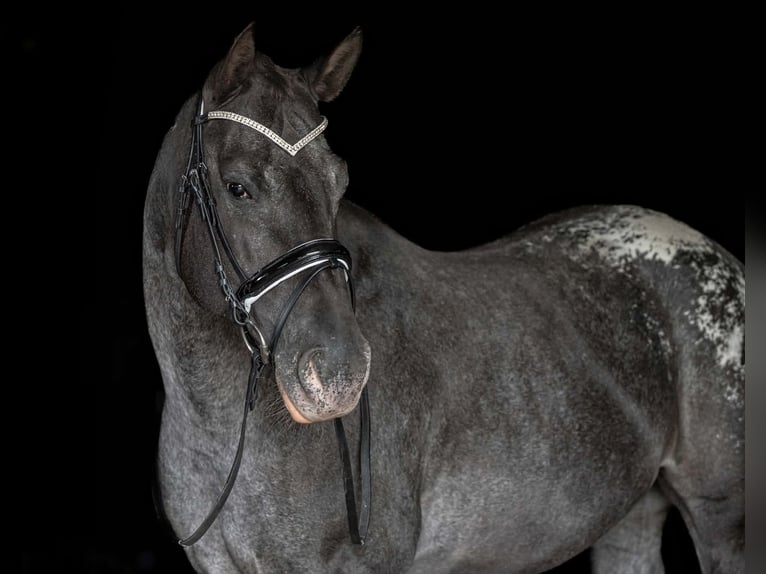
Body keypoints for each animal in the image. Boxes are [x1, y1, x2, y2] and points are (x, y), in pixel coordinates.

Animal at [143, 23, 744, 573]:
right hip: (634, 516)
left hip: (723, 520)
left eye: (338, 183)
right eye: (237, 187)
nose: (338, 374)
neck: (218, 429)